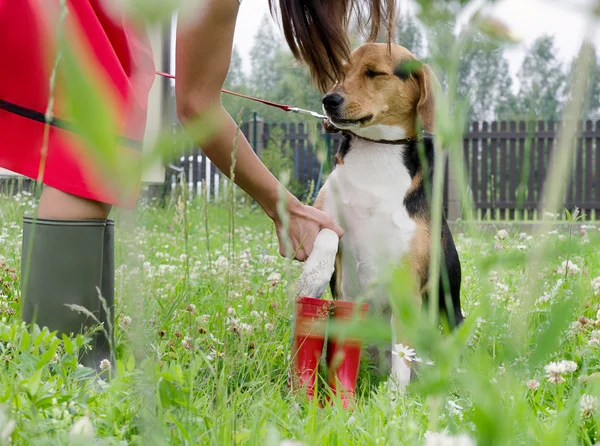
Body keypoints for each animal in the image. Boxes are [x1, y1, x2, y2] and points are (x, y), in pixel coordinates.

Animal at [298, 42, 464, 390]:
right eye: (343, 71)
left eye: (374, 73)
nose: (329, 100)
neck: (377, 151)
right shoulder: (326, 212)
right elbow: (328, 236)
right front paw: (314, 273)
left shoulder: (407, 275)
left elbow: (402, 352)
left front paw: (395, 395)